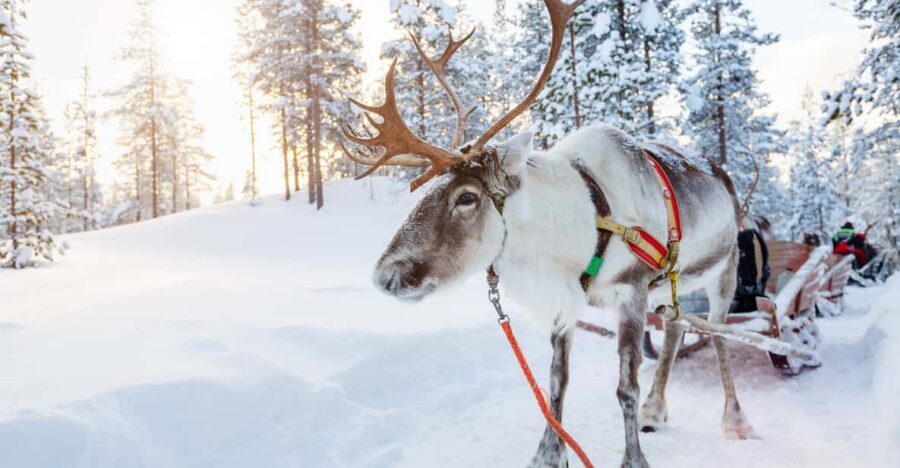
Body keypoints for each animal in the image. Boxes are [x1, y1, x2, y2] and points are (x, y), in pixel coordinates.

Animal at [340, 1, 757, 466]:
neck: (584, 222)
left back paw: (735, 420)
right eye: (428, 191)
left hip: (725, 271)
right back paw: (656, 409)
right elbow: (556, 384)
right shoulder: (566, 299)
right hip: (672, 284)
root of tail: (723, 174)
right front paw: (546, 455)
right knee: (676, 328)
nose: (385, 276)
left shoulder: (631, 292)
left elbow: (624, 388)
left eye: (466, 197)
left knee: (718, 334)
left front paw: (634, 458)